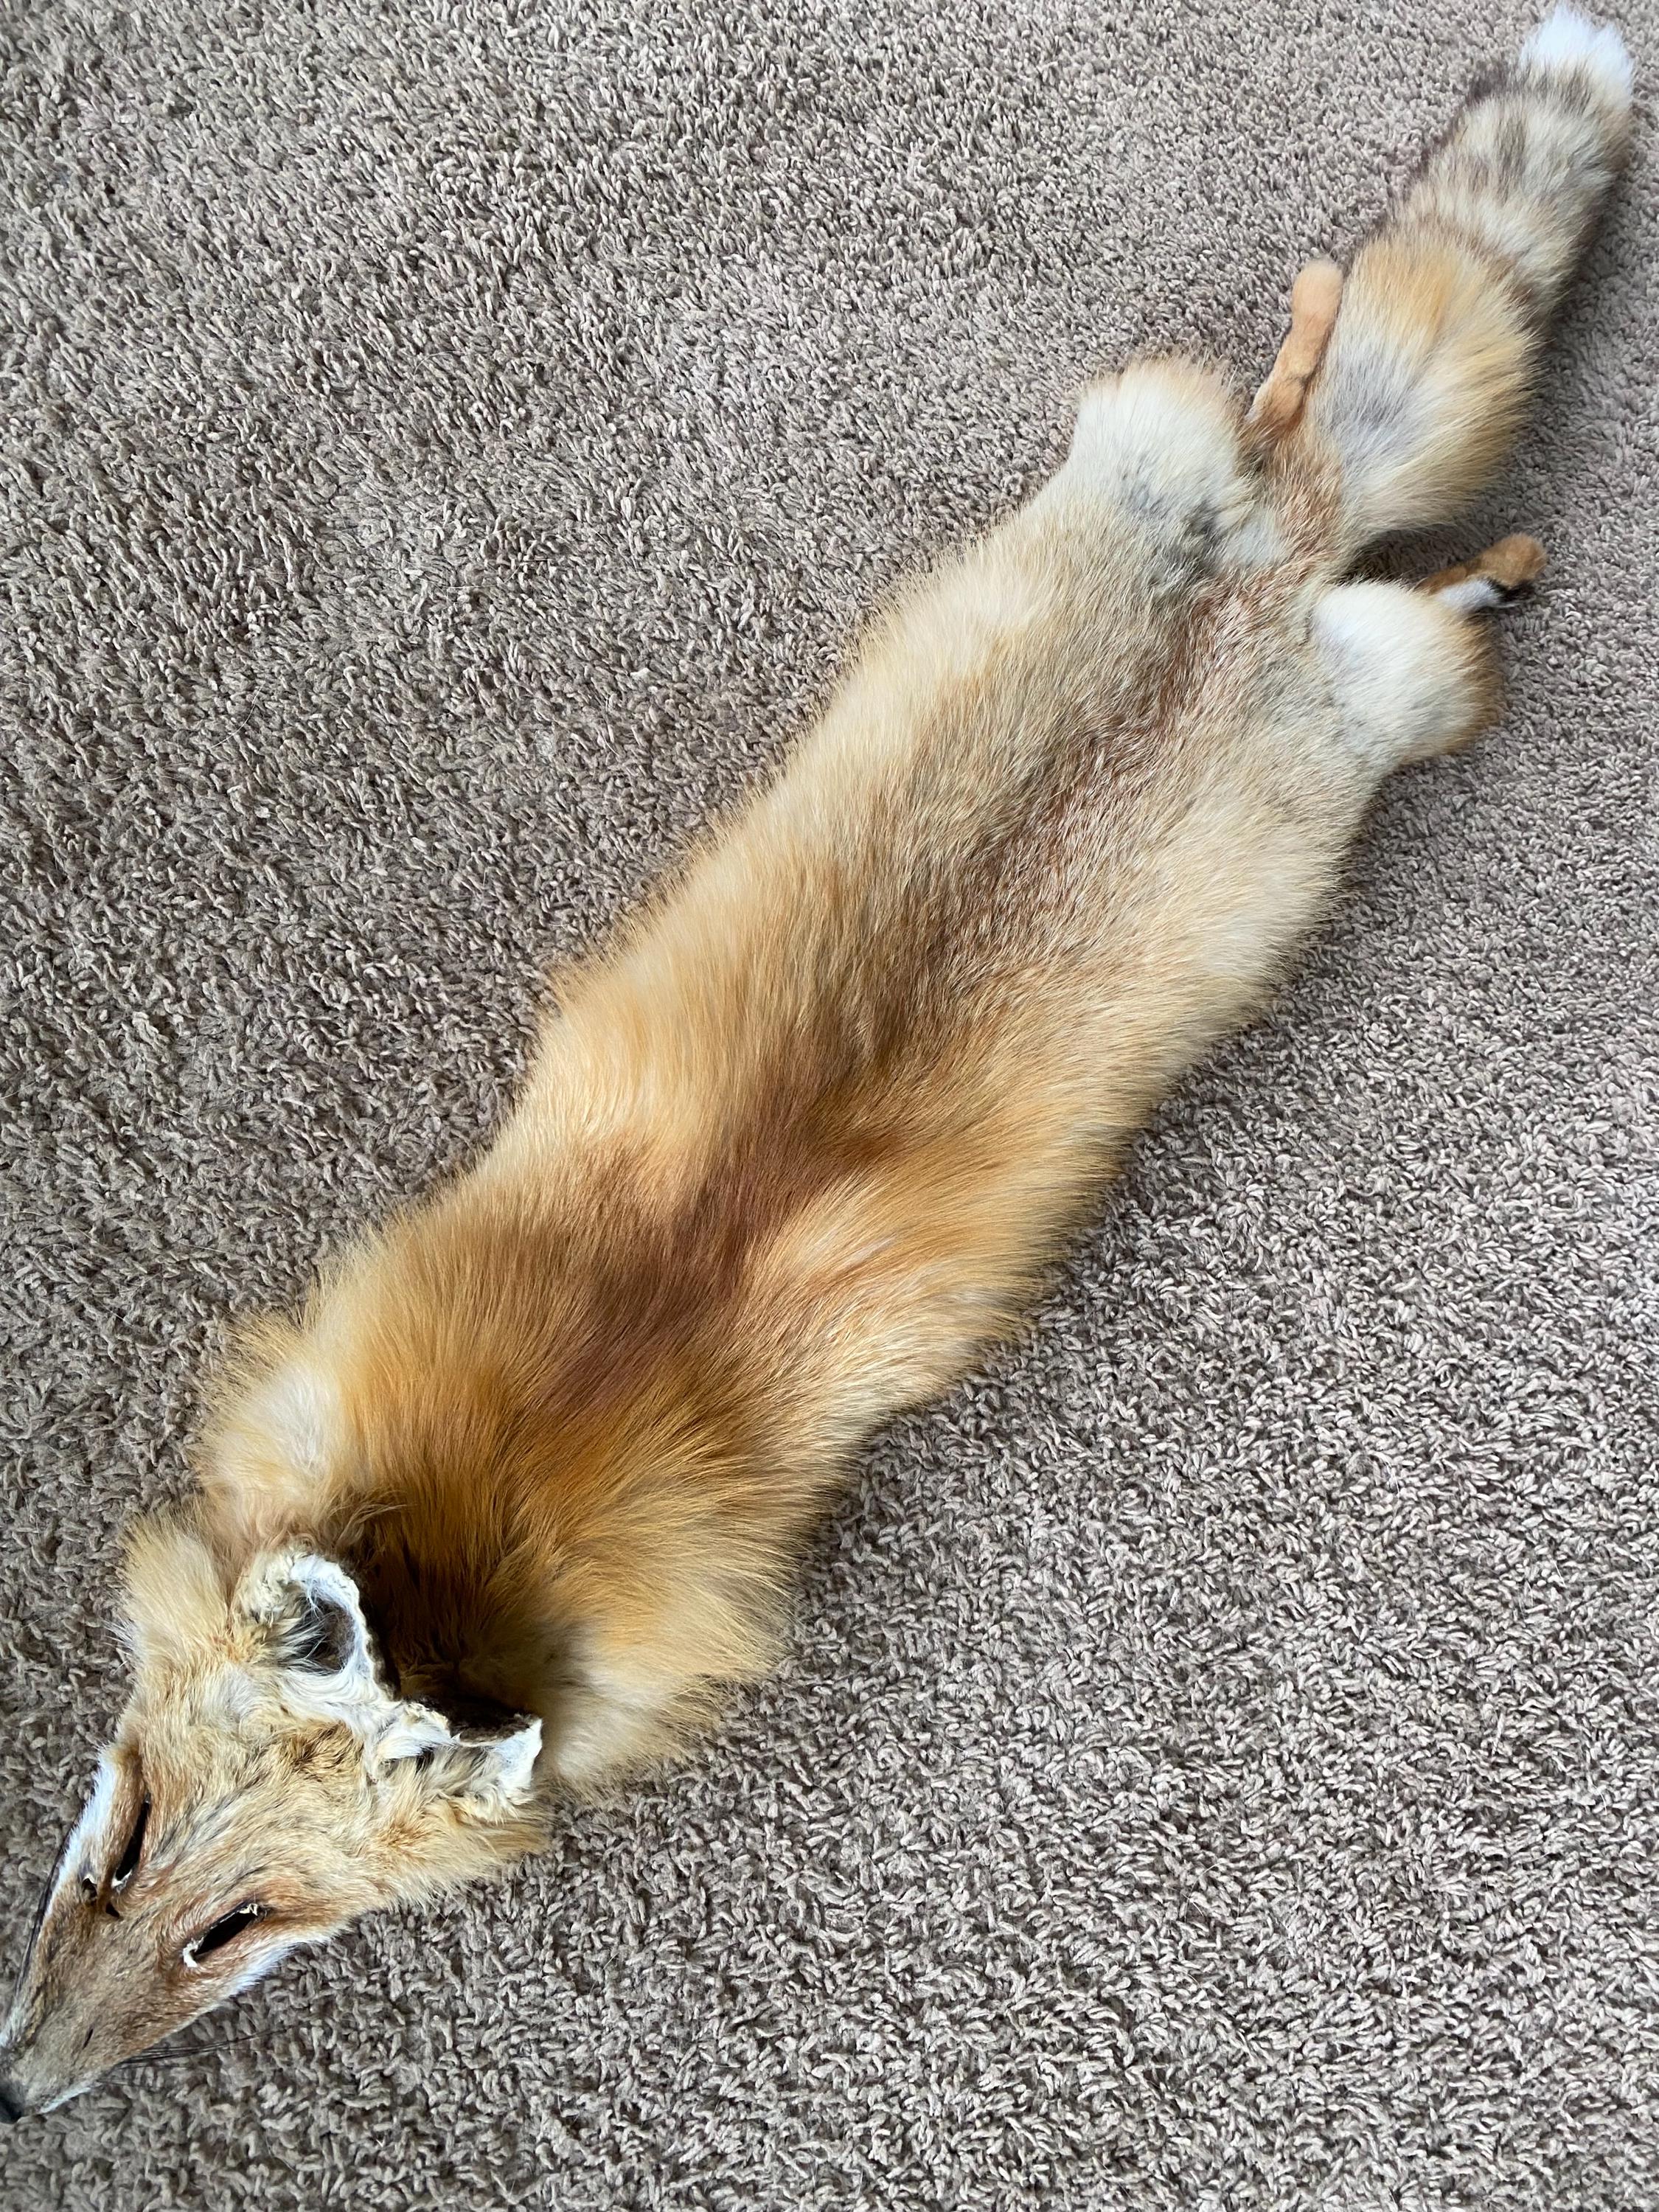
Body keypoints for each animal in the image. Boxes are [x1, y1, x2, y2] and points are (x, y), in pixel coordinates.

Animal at [0, 7, 1635, 2121]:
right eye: (118, 1843)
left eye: (243, 1928)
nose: (19, 2092)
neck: (477, 1507)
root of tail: (1272, 565)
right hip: (1140, 440)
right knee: (1307, 396)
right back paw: (1334, 368)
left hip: (1415, 709)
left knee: (1433, 596)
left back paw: (1483, 553)